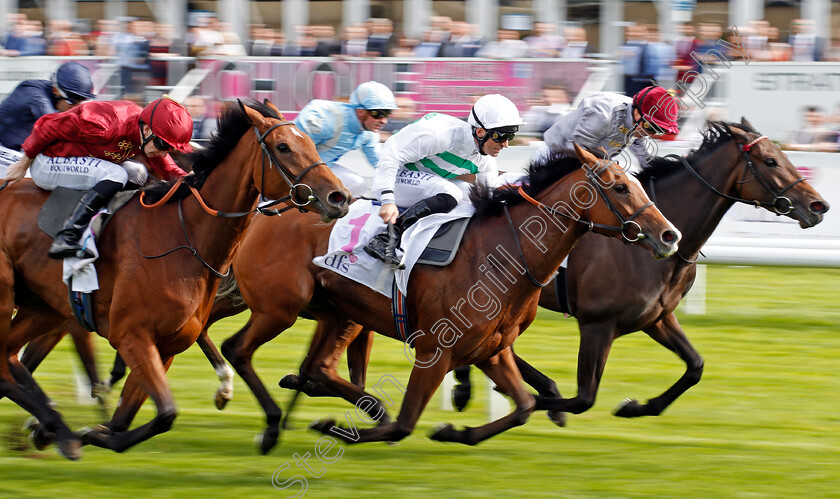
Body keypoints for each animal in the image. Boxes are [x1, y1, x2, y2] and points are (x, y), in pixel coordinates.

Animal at [0, 98, 352, 460]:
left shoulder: (165, 345)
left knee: (10, 359)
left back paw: (54, 426)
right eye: (283, 147)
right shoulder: (132, 336)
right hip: (8, 293)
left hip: (44, 307)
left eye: (311, 142)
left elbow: (127, 420)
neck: (185, 238)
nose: (339, 197)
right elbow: (166, 413)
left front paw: (88, 431)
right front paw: (82, 431)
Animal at [452, 119, 828, 424]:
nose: (818, 205)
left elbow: (695, 367)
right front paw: (546, 400)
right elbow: (583, 398)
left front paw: (636, 407)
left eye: (783, 155)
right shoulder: (598, 323)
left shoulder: (657, 317)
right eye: (770, 160)